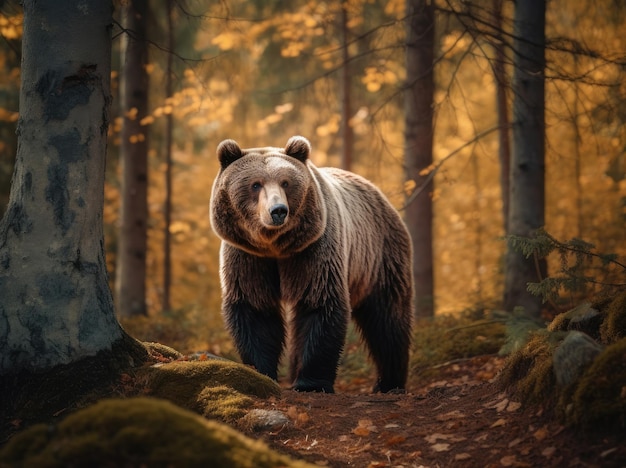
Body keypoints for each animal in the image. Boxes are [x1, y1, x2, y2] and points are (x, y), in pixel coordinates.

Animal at [212, 137, 412, 394]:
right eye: (255, 184)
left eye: (286, 182)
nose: (278, 211)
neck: (275, 246)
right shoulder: (248, 256)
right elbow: (255, 307)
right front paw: (261, 372)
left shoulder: (315, 249)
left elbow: (319, 302)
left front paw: (311, 383)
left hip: (378, 256)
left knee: (388, 319)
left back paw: (389, 382)